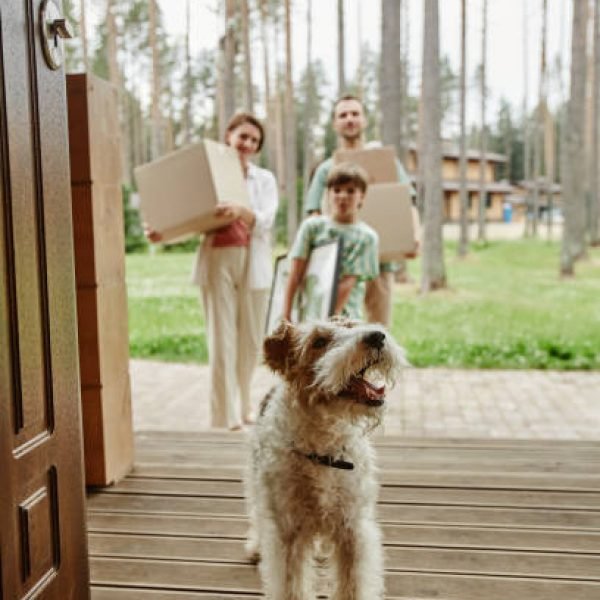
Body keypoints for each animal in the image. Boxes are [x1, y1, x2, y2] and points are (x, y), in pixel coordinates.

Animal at [244, 316, 408, 596]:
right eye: (319, 342)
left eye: (352, 325)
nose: (377, 336)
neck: (326, 449)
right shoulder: (289, 533)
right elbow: (291, 586)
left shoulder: (352, 529)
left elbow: (353, 585)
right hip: (258, 485)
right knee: (257, 513)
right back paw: (256, 547)